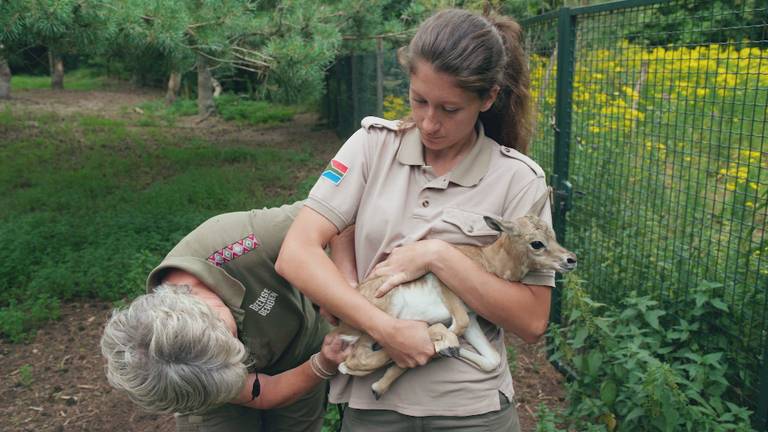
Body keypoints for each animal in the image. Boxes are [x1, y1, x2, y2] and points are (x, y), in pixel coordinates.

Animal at [334, 189, 576, 398]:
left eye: (553, 234)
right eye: (537, 243)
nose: (571, 259)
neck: (486, 261)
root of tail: (340, 327)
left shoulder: (472, 316)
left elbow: (492, 358)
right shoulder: (444, 284)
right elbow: (458, 324)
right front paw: (445, 344)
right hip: (384, 312)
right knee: (357, 358)